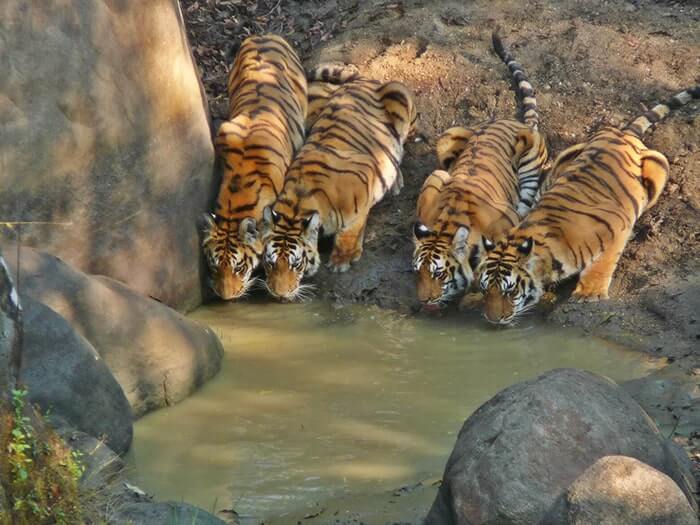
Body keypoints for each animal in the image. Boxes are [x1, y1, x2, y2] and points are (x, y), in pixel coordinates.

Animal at [261, 64, 417, 301]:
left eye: (296, 264)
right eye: (270, 263)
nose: (279, 295)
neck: (299, 201)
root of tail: (363, 80)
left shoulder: (365, 177)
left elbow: (350, 229)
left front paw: (342, 259)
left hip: (399, 93)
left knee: (402, 146)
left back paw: (396, 181)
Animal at [412, 31, 548, 311]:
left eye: (439, 274)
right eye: (417, 272)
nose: (423, 302)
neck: (448, 219)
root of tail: (512, 120)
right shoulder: (434, 181)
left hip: (530, 163)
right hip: (447, 138)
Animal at [477, 86, 699, 325]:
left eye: (510, 291)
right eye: (485, 290)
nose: (492, 320)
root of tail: (621, 132)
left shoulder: (618, 226)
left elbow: (603, 263)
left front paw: (588, 293)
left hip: (659, 164)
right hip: (566, 157)